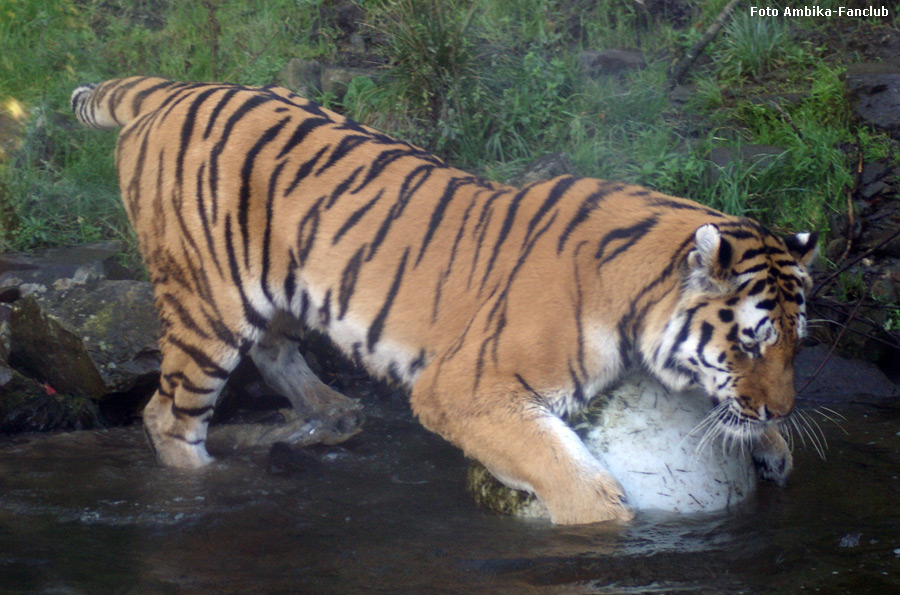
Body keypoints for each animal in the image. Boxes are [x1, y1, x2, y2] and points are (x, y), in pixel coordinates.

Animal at [70, 75, 816, 528]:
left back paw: (334, 413)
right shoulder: (463, 387)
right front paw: (606, 520)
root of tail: (179, 86)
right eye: (749, 341)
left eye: (795, 343)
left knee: (276, 350)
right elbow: (562, 465)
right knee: (168, 416)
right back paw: (206, 482)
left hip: (271, 286)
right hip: (205, 303)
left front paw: (772, 446)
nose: (784, 410)